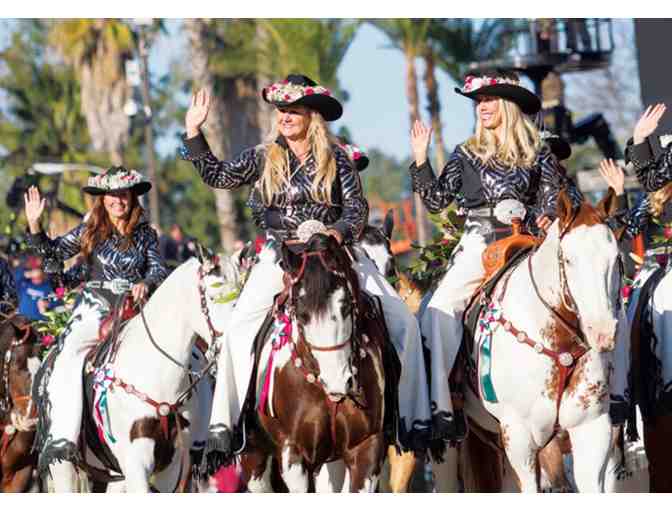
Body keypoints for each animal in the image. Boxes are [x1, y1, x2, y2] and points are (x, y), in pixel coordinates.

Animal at [242, 234, 388, 490]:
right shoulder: (294, 454)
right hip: (255, 458)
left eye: (346, 306)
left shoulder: (367, 448)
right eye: (301, 314)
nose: (338, 382)